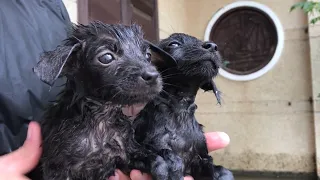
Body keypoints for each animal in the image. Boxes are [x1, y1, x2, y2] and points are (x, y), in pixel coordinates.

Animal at [33, 21, 170, 180]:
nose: (153, 75)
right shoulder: (57, 168)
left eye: (148, 55)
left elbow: (154, 158)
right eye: (106, 58)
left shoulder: (127, 151)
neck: (102, 119)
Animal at [134, 33, 234, 179]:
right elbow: (161, 156)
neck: (180, 110)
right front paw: (170, 168)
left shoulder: (200, 156)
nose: (212, 46)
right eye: (174, 44)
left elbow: (213, 167)